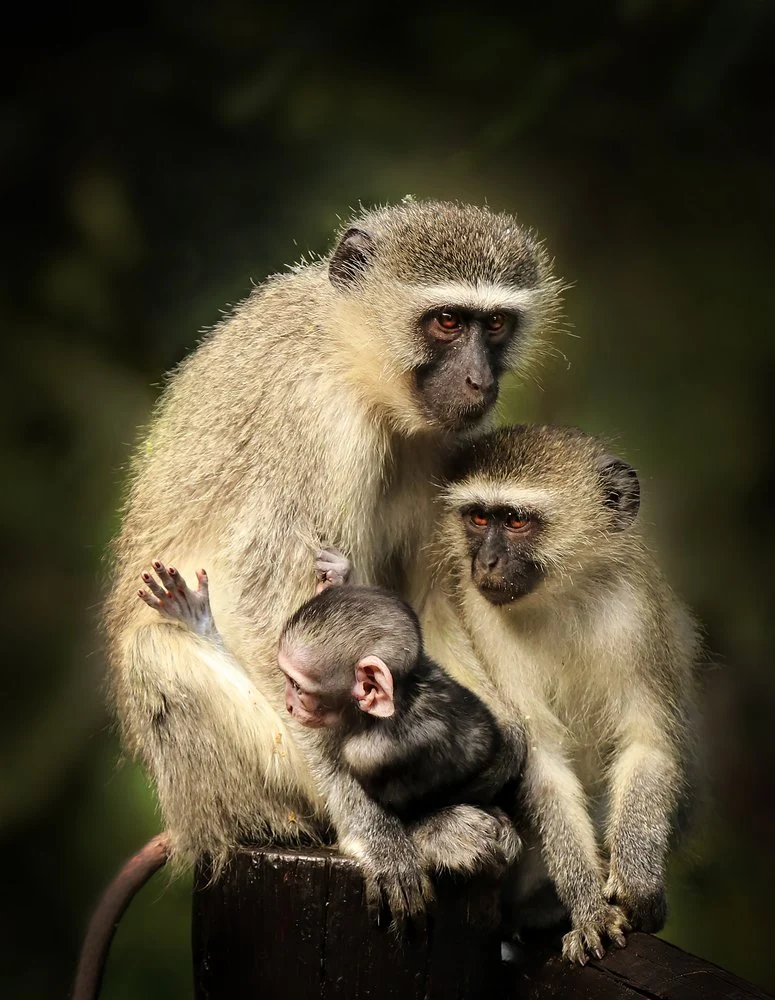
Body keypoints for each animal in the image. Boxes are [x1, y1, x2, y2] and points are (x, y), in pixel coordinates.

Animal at [103, 200, 561, 919]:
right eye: (446, 321)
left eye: (494, 325)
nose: (479, 379)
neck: (352, 362)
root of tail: (190, 822)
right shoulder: (313, 419)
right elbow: (263, 606)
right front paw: (375, 832)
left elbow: (429, 602)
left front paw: (504, 743)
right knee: (158, 651)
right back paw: (419, 830)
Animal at [418, 424, 699, 964]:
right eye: (478, 517)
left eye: (516, 521)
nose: (485, 562)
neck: (560, 597)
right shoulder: (486, 623)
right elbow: (544, 762)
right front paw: (588, 910)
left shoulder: (635, 612)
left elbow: (647, 743)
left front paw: (636, 884)